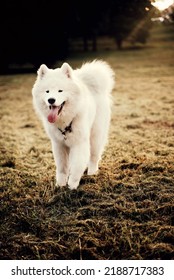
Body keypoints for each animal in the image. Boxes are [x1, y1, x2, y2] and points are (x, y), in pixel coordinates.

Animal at [32, 60, 115, 189]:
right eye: (47, 91)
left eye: (60, 91)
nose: (51, 100)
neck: (65, 121)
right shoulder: (59, 144)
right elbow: (62, 167)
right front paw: (60, 185)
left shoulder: (79, 143)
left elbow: (76, 166)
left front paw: (72, 186)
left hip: (95, 136)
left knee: (94, 156)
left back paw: (92, 173)